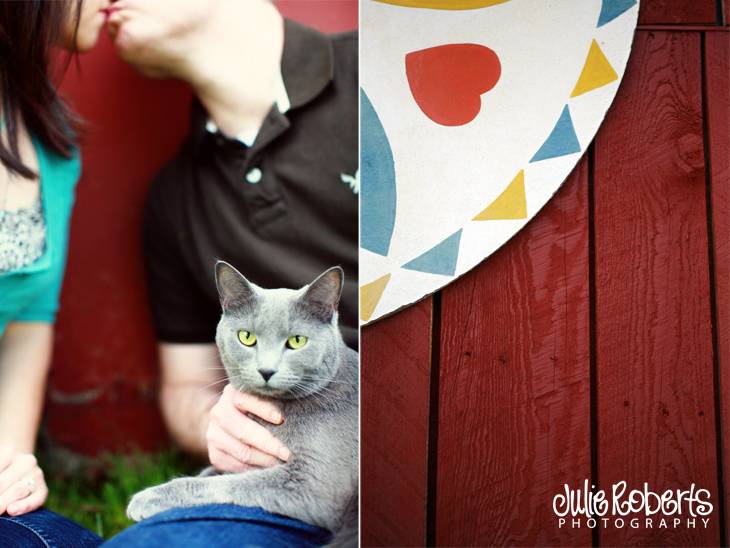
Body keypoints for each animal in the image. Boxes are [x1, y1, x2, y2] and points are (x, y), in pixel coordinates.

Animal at [126, 262, 358, 544]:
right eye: (246, 337)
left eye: (297, 341)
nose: (266, 370)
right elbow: (213, 472)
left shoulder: (313, 484)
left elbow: (228, 484)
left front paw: (148, 497)